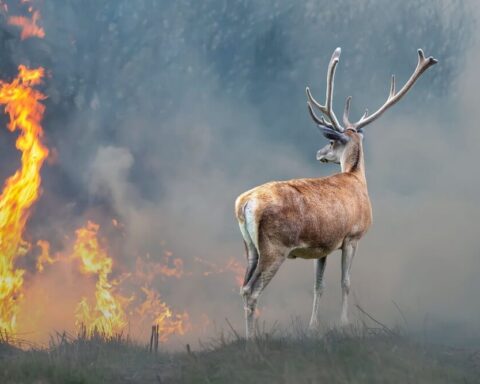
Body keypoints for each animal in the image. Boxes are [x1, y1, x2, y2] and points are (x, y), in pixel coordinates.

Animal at [234, 47, 436, 340]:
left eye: (330, 143)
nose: (319, 153)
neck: (356, 179)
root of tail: (245, 203)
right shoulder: (352, 236)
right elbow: (345, 282)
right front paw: (343, 324)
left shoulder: (323, 246)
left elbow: (319, 285)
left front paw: (312, 327)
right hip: (275, 246)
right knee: (251, 291)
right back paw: (251, 341)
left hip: (249, 247)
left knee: (242, 287)